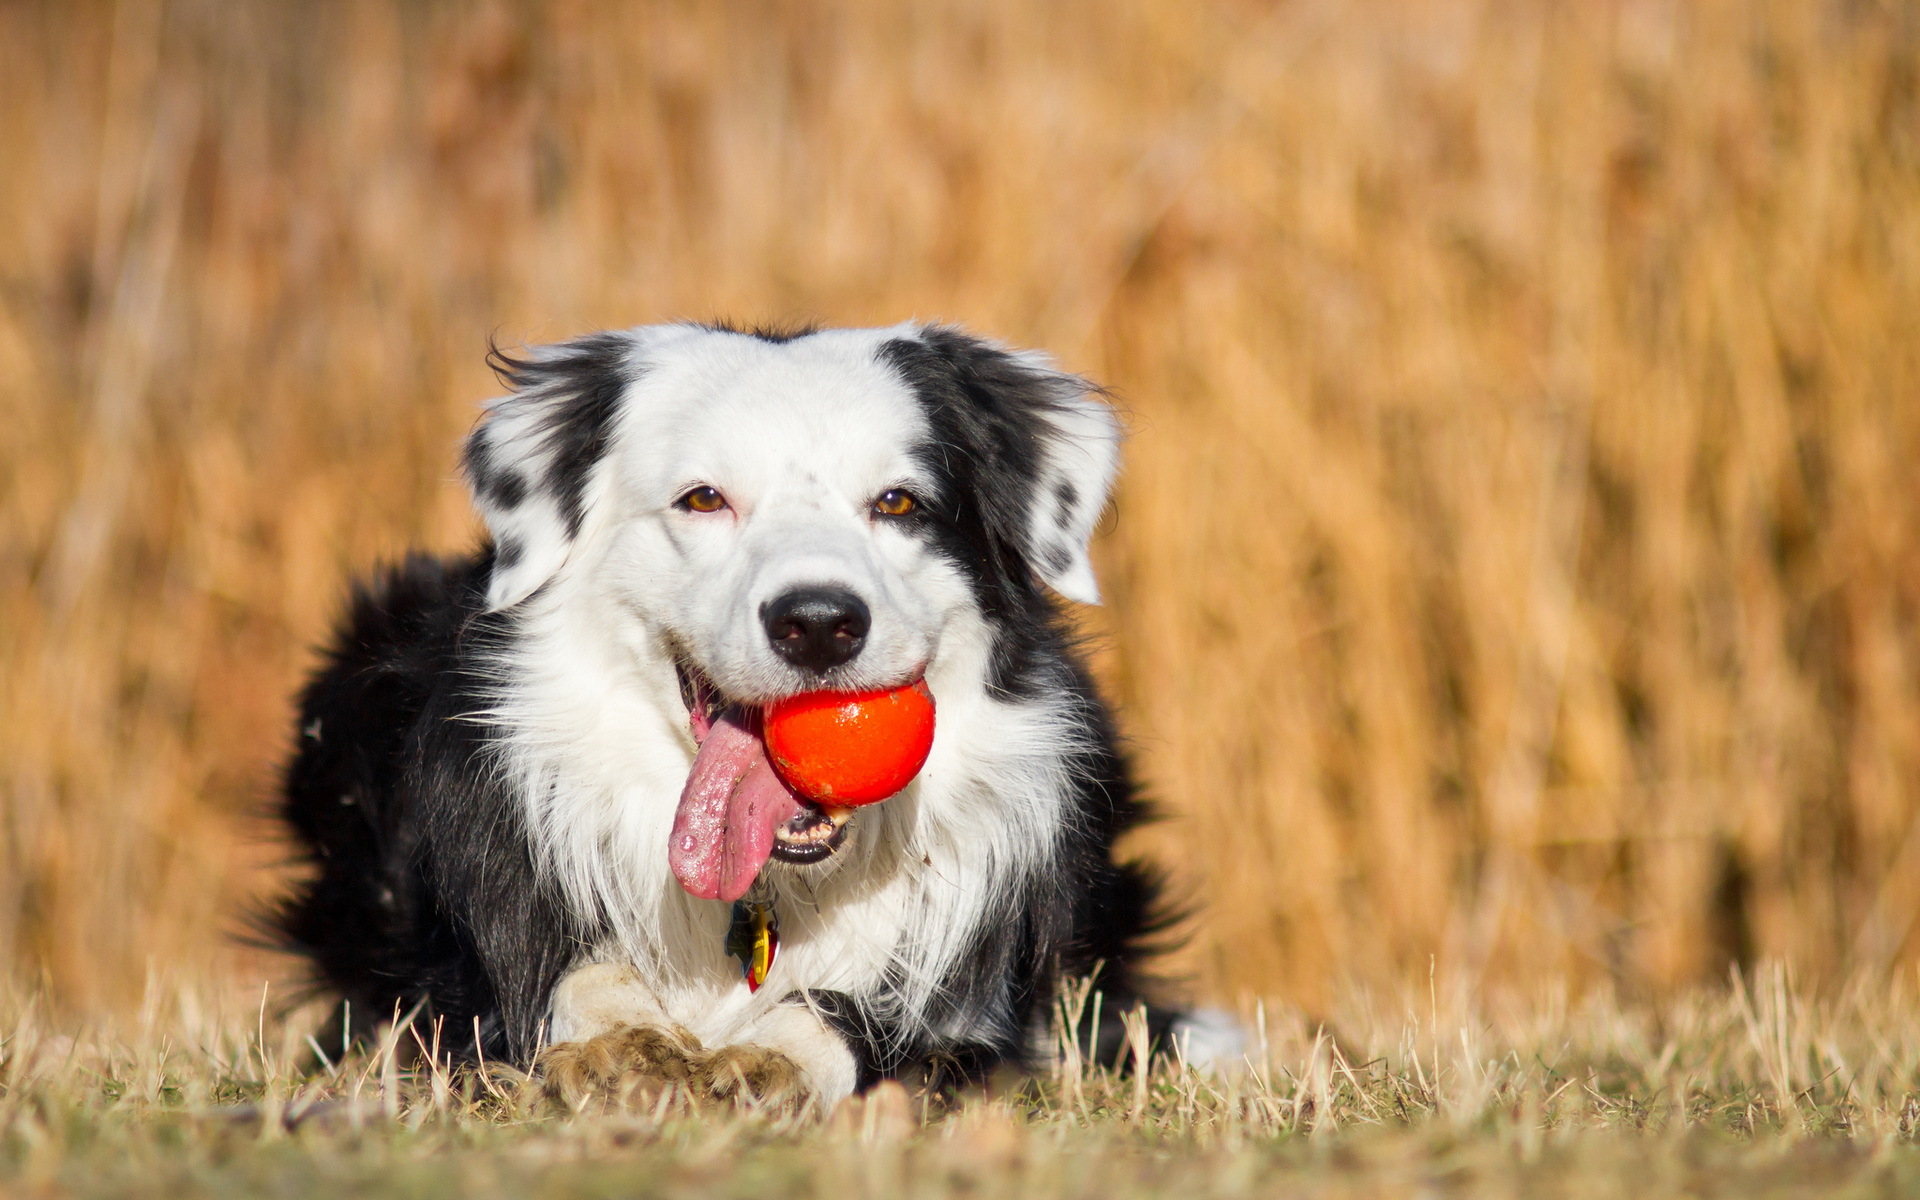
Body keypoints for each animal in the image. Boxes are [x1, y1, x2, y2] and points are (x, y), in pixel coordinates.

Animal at [272, 318, 1213, 1105]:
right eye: (703, 499)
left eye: (899, 503)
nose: (820, 622)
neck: (772, 890)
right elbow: (567, 978)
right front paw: (622, 1040)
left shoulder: (985, 1017)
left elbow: (856, 1013)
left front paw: (770, 1055)